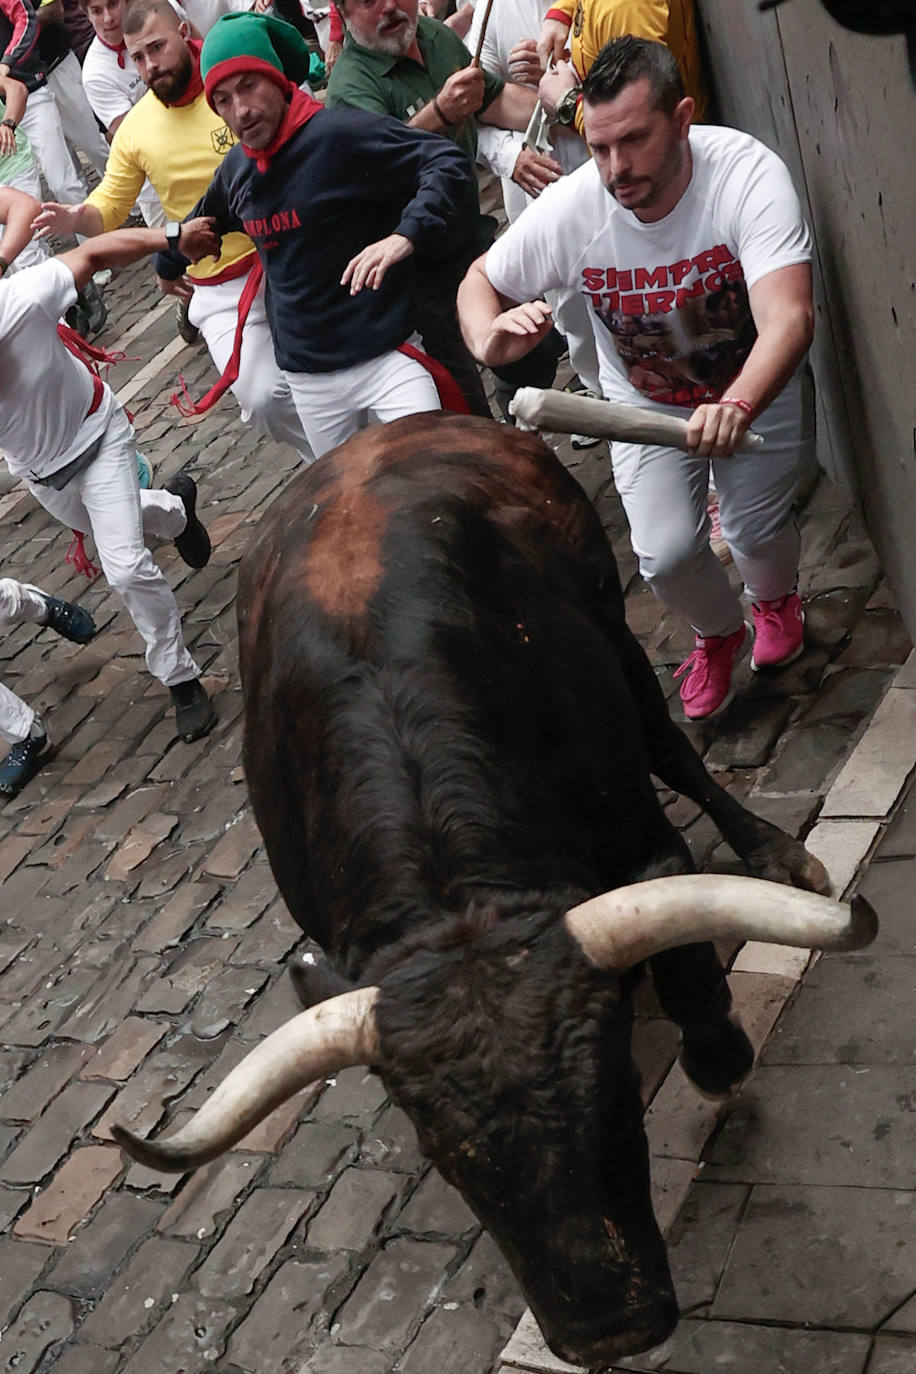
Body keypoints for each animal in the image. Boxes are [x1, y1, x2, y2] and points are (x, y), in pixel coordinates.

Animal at [118, 412, 878, 1368]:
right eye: (445, 1154)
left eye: (619, 1093)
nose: (611, 1329)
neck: (453, 895)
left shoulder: (639, 835)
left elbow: (688, 962)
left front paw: (718, 1058)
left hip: (615, 627)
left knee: (673, 745)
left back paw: (774, 850)